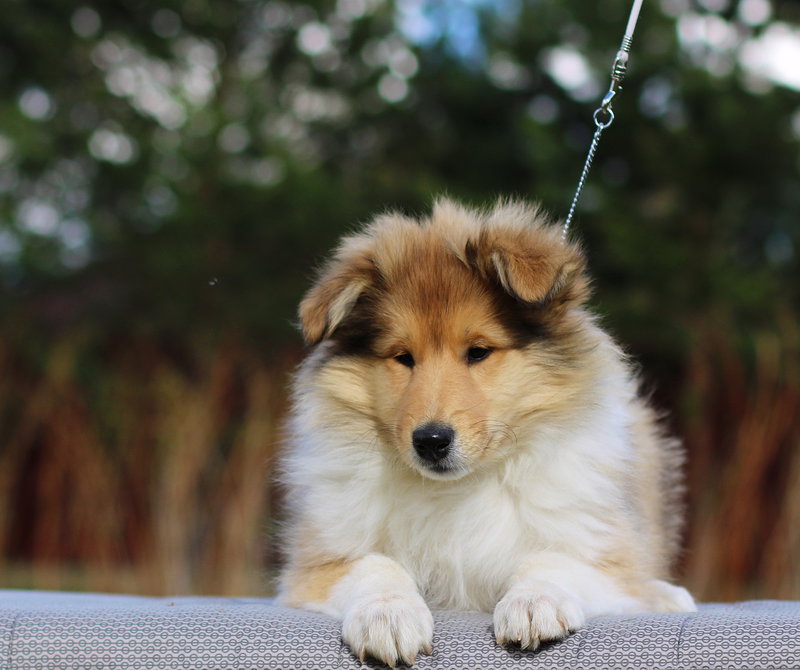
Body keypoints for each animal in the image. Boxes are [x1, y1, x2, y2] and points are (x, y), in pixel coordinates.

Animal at [278, 198, 696, 668]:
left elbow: (552, 560)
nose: (431, 441)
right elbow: (374, 565)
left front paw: (534, 604)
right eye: (403, 357)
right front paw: (387, 615)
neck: (460, 487)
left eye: (478, 352)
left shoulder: (603, 559)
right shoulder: (318, 565)